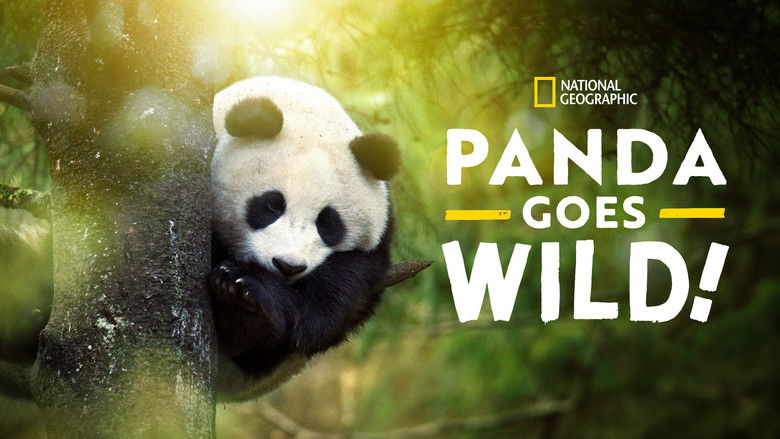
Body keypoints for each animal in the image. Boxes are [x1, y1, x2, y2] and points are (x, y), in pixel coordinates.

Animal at [209, 77, 400, 399]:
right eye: (273, 205)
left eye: (327, 222)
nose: (288, 266)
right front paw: (241, 290)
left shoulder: (378, 237)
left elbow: (348, 283)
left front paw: (253, 297)